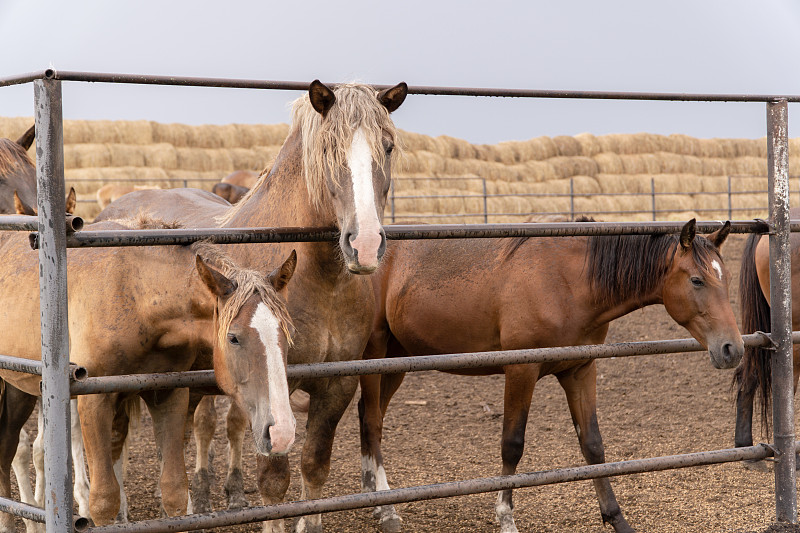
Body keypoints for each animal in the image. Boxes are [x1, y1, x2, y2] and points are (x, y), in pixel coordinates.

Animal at [94, 79, 406, 532]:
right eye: (327, 148)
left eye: (388, 146)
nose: (364, 244)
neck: (320, 280)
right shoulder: (273, 387)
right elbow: (274, 482)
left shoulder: (337, 385)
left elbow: (315, 469)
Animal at [360, 217, 748, 532]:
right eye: (697, 280)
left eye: (727, 278)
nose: (733, 349)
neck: (568, 282)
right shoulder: (522, 369)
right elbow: (512, 445)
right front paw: (506, 519)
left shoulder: (580, 370)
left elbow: (593, 445)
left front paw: (616, 518)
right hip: (374, 352)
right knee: (374, 421)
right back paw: (387, 510)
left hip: (397, 359)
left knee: (369, 414)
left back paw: (372, 498)